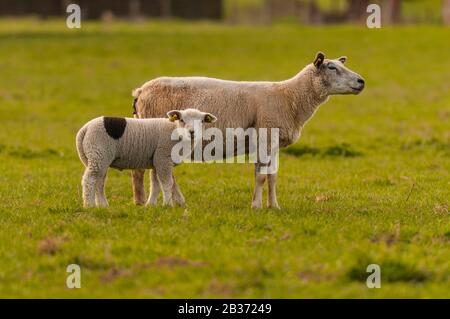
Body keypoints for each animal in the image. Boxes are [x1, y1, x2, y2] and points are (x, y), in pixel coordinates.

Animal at [75, 109, 218, 209]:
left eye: (202, 121)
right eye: (182, 120)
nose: (192, 132)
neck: (176, 131)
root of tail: (85, 129)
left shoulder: (157, 161)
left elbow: (155, 185)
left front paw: (151, 205)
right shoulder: (163, 158)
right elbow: (167, 183)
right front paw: (168, 205)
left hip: (99, 158)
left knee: (99, 182)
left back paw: (103, 205)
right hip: (98, 153)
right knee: (89, 180)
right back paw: (89, 206)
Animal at [131, 52, 366, 210]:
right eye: (331, 68)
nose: (361, 81)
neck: (290, 97)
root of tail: (141, 91)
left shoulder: (272, 143)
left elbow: (272, 176)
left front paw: (274, 206)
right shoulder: (264, 136)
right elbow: (261, 176)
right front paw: (256, 206)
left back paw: (163, 201)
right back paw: (152, 202)